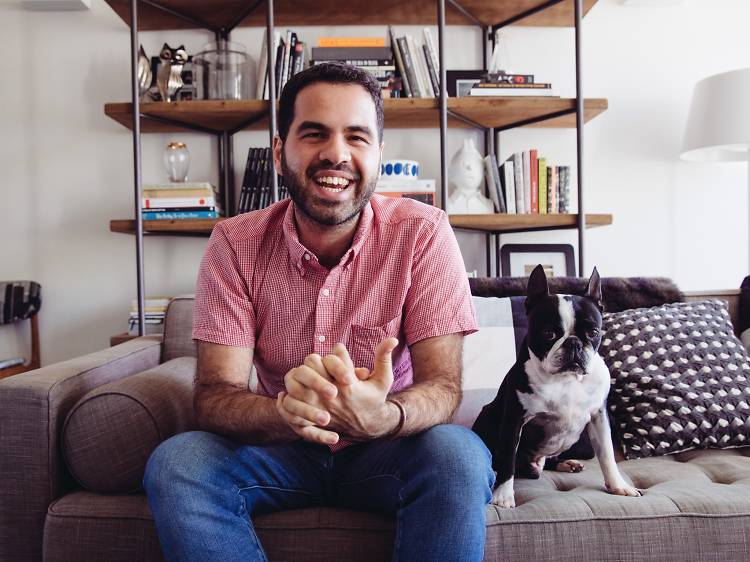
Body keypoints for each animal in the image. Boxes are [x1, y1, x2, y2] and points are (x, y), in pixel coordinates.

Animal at [476, 264, 640, 506]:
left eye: (593, 333)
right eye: (549, 333)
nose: (573, 343)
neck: (567, 379)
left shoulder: (598, 417)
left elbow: (607, 455)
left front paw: (618, 486)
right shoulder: (514, 419)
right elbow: (507, 457)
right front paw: (503, 495)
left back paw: (565, 463)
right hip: (487, 415)